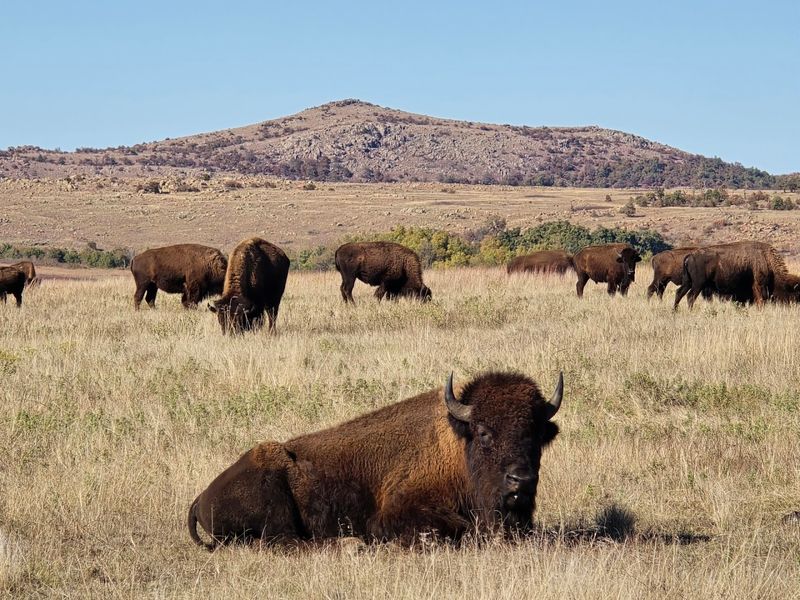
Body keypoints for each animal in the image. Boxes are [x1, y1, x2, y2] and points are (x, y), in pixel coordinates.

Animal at [188, 370, 563, 549]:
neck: (458, 445)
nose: (521, 481)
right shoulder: (394, 513)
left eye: (536, 433)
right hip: (274, 500)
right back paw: (351, 546)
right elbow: (459, 529)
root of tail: (201, 496)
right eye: (484, 432)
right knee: (286, 544)